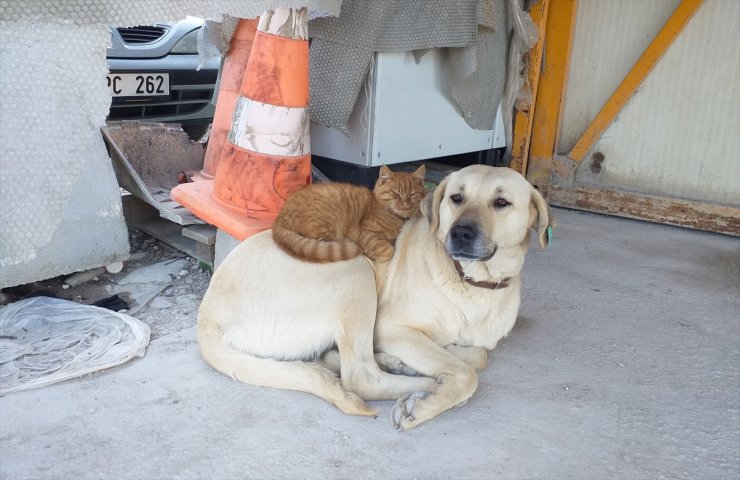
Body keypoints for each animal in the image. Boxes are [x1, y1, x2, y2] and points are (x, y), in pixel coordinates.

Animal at [272, 164, 424, 262]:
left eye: (412, 194)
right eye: (395, 194)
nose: (405, 204)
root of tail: (280, 217)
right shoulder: (366, 234)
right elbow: (388, 251)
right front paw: (375, 255)